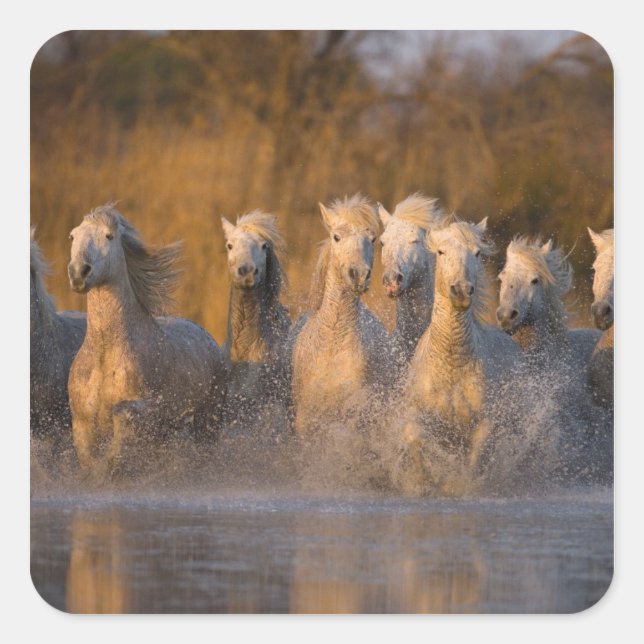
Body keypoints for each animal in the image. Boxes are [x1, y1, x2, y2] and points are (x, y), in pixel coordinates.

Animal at [67, 204, 225, 479]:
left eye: (109, 236)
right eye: (73, 236)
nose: (78, 273)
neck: (105, 352)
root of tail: (208, 337)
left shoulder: (142, 412)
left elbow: (120, 431)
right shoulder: (81, 423)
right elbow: (92, 464)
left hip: (208, 423)